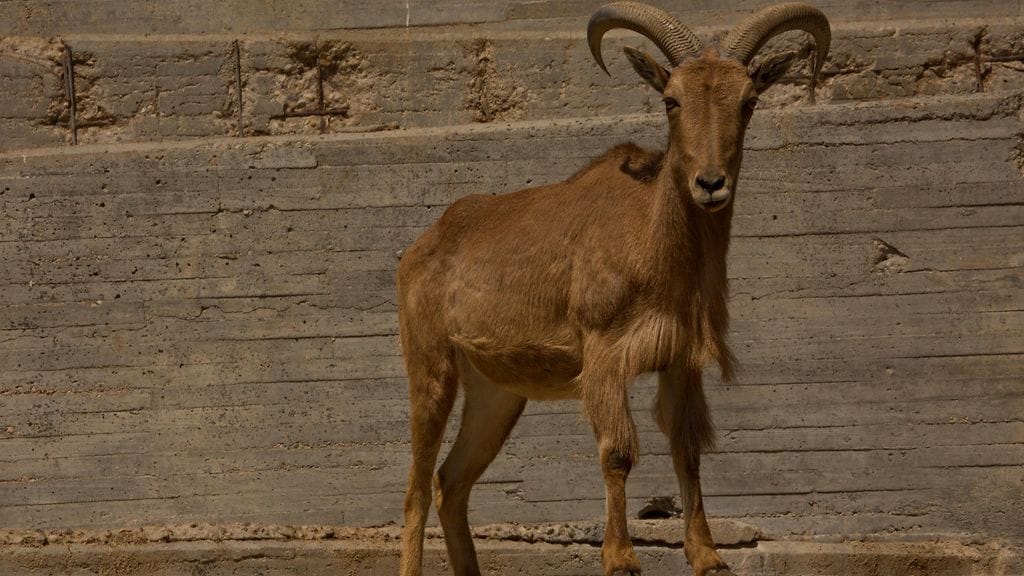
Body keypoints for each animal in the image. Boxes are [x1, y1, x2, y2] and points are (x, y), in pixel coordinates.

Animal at [395, 3, 830, 575]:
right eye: (671, 100)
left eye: (748, 101)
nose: (711, 184)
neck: (653, 240)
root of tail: (421, 246)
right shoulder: (604, 352)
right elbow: (617, 452)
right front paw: (621, 558)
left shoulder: (678, 359)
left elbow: (687, 450)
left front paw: (707, 555)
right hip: (431, 367)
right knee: (418, 488)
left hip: (496, 392)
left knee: (452, 482)